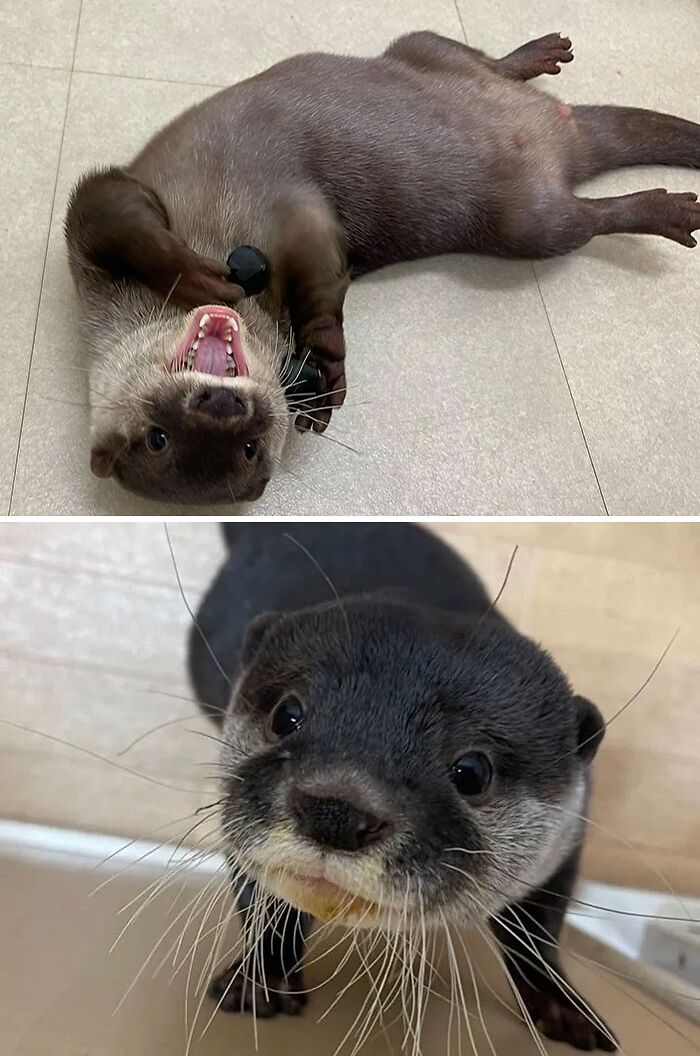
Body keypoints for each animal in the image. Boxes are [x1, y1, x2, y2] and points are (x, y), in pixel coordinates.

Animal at [66, 30, 700, 506]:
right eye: (160, 439)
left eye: (247, 447)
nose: (225, 405)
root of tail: (563, 132)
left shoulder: (101, 230)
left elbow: (111, 212)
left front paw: (314, 361)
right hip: (533, 222)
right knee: (586, 218)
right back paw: (666, 209)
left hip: (422, 49)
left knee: (467, 55)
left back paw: (541, 55)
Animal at [188, 523, 616, 1051]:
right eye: (286, 714)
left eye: (472, 771)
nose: (335, 811)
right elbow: (264, 902)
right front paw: (260, 978)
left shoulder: (568, 836)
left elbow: (540, 933)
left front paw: (564, 1006)